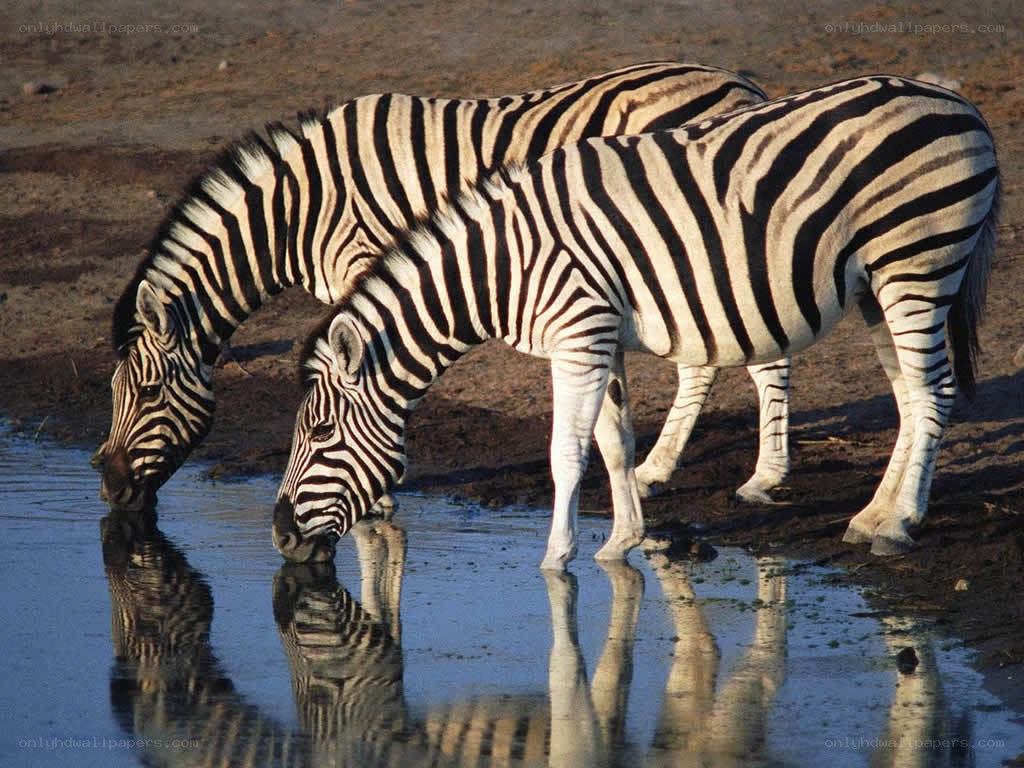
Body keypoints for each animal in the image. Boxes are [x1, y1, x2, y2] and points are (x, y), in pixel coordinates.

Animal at [93, 61, 790, 524]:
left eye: (147, 392)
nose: (109, 486)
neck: (298, 209)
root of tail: (744, 85)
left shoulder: (365, 259)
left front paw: (376, 492)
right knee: (704, 356)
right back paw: (656, 469)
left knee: (764, 352)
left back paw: (763, 479)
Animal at [272, 75, 1000, 569]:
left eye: (321, 431)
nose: (278, 533)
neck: (502, 264)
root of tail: (960, 104)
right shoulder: (597, 338)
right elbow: (616, 440)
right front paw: (624, 541)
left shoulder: (579, 336)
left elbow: (568, 451)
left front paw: (557, 559)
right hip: (879, 284)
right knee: (908, 395)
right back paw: (873, 514)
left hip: (918, 263)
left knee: (932, 393)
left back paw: (900, 524)